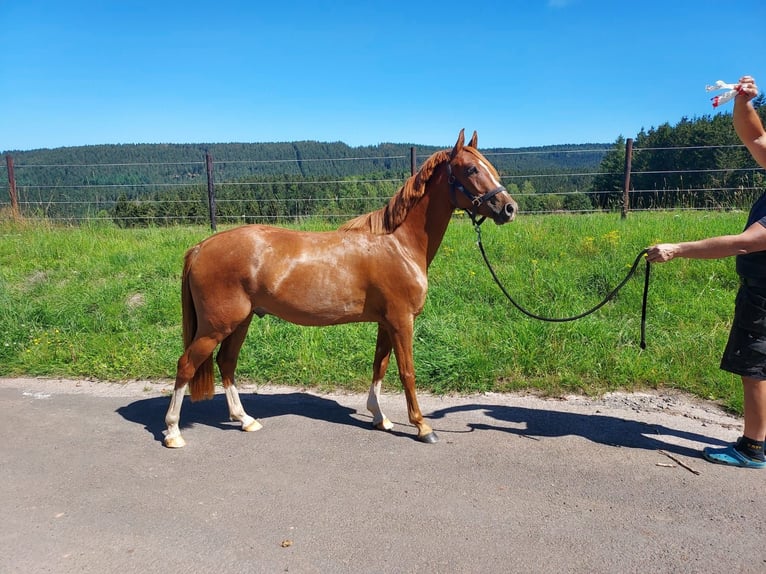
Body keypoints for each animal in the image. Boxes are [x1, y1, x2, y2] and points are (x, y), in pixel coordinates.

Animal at [164, 130, 520, 450]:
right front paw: (422, 426)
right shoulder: (401, 321)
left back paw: (245, 420)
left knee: (226, 363)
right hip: (216, 325)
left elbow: (380, 366)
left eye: (490, 166)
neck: (398, 244)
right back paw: (173, 432)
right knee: (186, 365)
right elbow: (407, 371)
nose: (509, 208)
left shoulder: (385, 323)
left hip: (241, 321)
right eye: (471, 169)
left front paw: (380, 417)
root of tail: (201, 247)